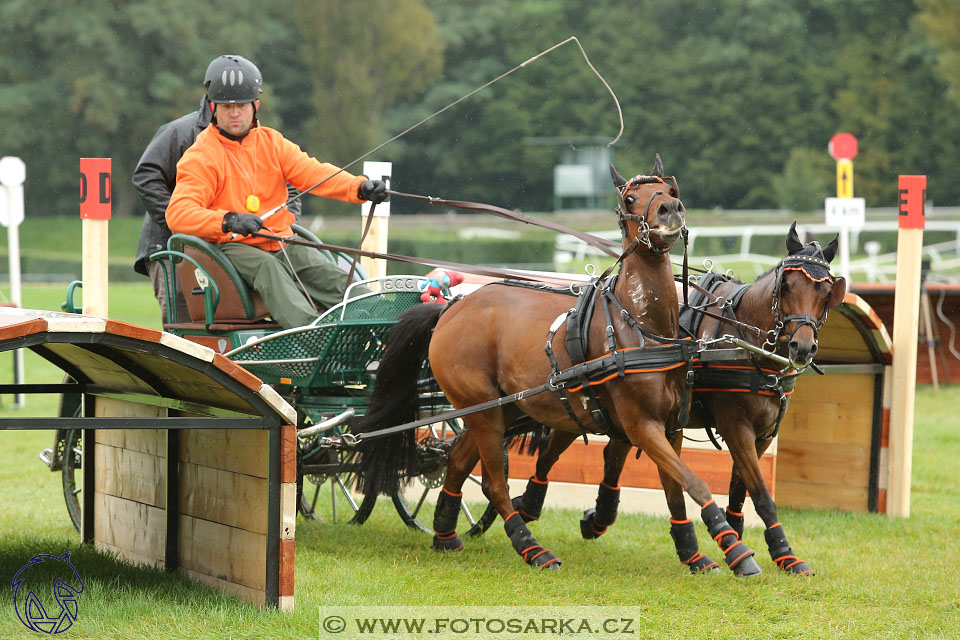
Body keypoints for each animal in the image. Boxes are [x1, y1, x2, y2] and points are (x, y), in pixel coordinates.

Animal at [356, 156, 760, 576]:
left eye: (669, 189)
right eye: (630, 198)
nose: (670, 210)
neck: (640, 327)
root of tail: (451, 307)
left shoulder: (671, 426)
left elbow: (675, 488)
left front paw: (692, 552)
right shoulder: (640, 426)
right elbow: (693, 482)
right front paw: (735, 549)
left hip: (497, 408)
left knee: (457, 462)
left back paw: (445, 535)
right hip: (482, 409)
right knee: (494, 483)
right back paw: (531, 548)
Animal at [512, 224, 844, 576]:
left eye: (827, 292)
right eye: (786, 285)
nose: (802, 348)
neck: (746, 341)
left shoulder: (764, 435)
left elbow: (741, 491)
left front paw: (776, 552)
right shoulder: (736, 428)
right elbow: (761, 494)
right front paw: (767, 551)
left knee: (613, 453)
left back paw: (597, 517)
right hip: (578, 414)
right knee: (548, 457)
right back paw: (529, 506)